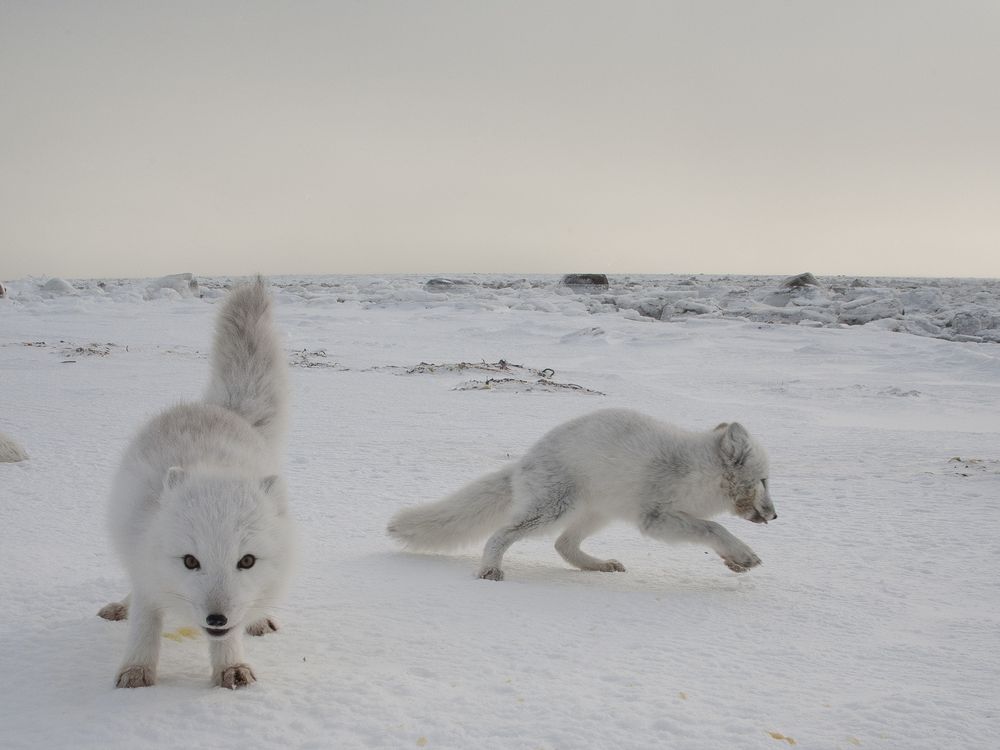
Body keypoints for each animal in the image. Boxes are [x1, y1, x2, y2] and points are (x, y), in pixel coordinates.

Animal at [98, 280, 292, 692]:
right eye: (190, 561)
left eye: (246, 561)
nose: (216, 619)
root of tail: (219, 409)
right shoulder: (149, 572)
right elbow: (144, 625)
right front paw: (136, 672)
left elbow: (230, 640)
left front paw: (230, 669)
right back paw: (121, 605)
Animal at [386, 412, 776, 580]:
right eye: (765, 481)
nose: (775, 516)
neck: (695, 470)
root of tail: (523, 462)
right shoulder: (656, 519)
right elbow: (713, 528)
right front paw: (743, 553)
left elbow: (711, 530)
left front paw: (734, 561)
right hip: (552, 510)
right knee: (503, 534)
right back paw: (490, 568)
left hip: (598, 514)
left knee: (563, 545)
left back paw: (599, 566)